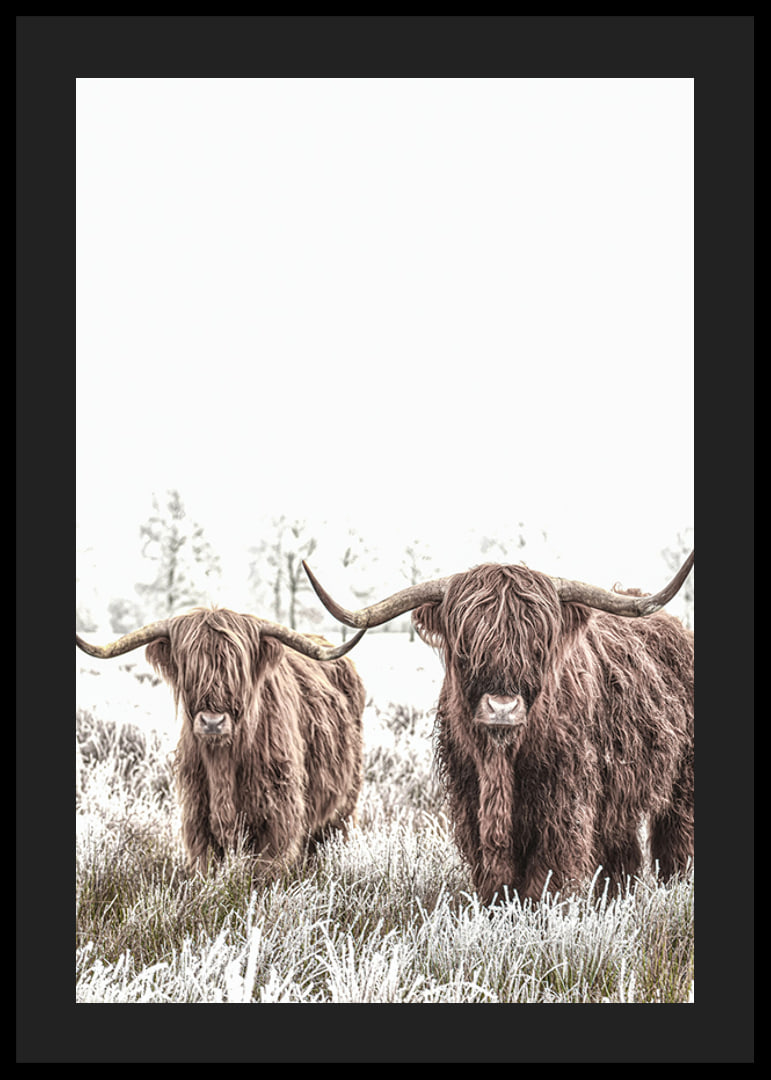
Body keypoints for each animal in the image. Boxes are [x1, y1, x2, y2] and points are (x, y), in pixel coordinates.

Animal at [76, 609, 367, 875]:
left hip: (344, 805)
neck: (222, 763)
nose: (212, 722)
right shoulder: (197, 818)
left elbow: (264, 872)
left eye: (237, 669)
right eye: (189, 667)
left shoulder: (278, 817)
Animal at [302, 551, 694, 905]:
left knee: (675, 842)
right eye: (466, 645)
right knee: (622, 851)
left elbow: (545, 877)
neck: (501, 759)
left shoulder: (563, 807)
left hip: (681, 784)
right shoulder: (470, 803)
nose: (502, 708)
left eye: (538, 645)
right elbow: (495, 879)